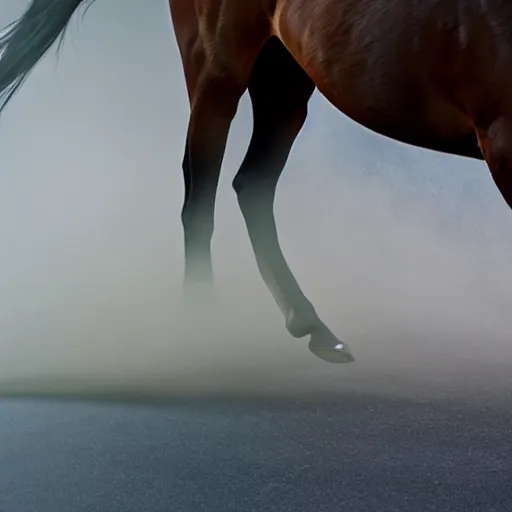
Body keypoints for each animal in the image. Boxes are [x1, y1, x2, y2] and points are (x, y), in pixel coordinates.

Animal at [1, 2, 508, 366]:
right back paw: (202, 329)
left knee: (252, 184)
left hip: (284, 75)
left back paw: (312, 326)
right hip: (218, 72)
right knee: (199, 196)